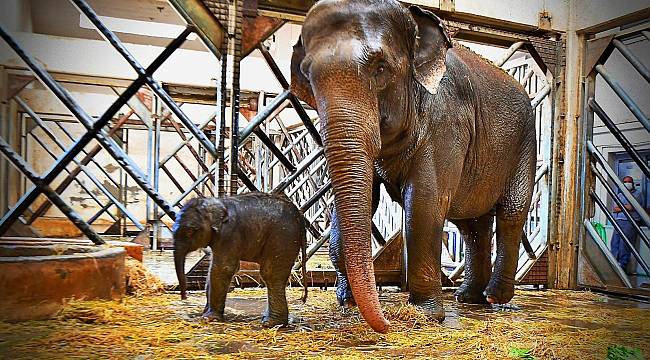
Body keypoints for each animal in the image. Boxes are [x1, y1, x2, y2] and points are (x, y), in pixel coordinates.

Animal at [171, 193, 306, 328]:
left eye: (190, 231)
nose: (184, 298)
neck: (217, 202)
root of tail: (300, 216)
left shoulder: (229, 234)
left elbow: (222, 268)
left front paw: (208, 319)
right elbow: (213, 270)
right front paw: (205, 314)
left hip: (282, 238)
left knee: (271, 275)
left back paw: (270, 323)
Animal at [292, 0, 536, 334]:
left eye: (380, 68)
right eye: (307, 75)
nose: (386, 324)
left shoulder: (446, 120)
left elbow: (424, 201)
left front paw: (425, 315)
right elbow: (363, 199)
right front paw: (346, 302)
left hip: (525, 141)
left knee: (511, 212)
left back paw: (494, 297)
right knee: (472, 224)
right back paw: (468, 298)